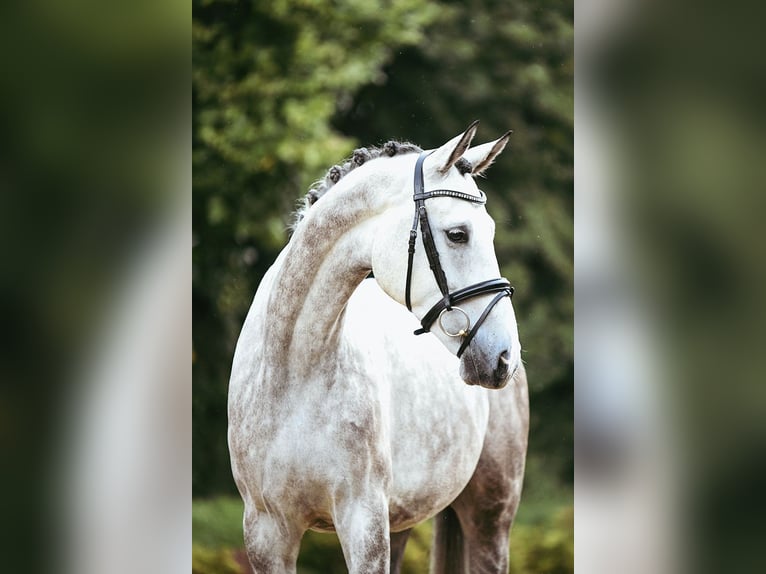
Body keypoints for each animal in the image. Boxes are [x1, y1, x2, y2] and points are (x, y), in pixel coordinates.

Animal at [228, 122, 529, 573]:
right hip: (401, 520)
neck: (293, 368)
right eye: (458, 234)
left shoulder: (363, 522)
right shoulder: (266, 532)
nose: (503, 357)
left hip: (491, 516)